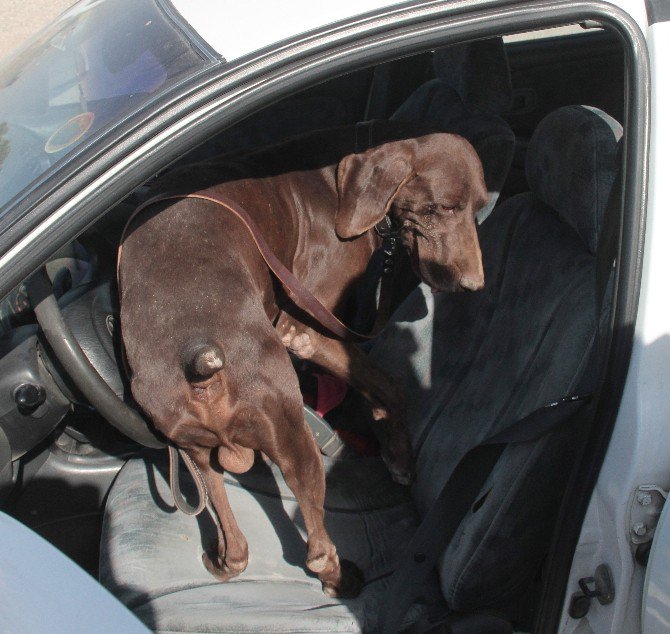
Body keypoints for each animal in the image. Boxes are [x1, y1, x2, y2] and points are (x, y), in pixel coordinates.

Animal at [119, 131, 488, 596]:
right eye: (443, 207)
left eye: (478, 208)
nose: (474, 285)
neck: (338, 187)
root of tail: (198, 365)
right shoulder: (301, 330)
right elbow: (388, 385)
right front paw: (400, 458)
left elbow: (378, 386)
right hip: (290, 431)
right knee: (315, 547)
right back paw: (339, 578)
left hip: (194, 450)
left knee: (235, 543)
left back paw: (224, 560)